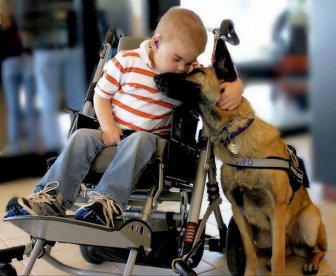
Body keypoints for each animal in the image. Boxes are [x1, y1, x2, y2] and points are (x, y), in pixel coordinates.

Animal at [156, 37, 328, 274]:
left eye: (196, 72)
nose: (156, 77)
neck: (233, 132)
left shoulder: (277, 211)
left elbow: (278, 260)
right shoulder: (238, 212)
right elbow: (249, 253)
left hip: (310, 223)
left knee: (316, 250)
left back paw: (311, 262)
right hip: (263, 234)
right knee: (270, 250)